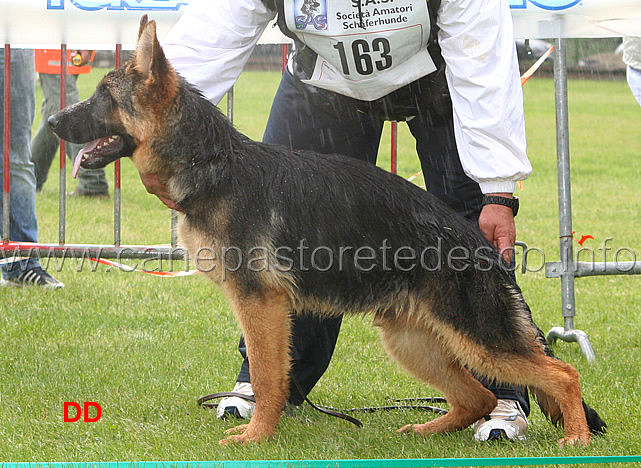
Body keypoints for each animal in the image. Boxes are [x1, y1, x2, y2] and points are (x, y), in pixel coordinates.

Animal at [51, 14, 604, 446]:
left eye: (103, 97)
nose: (55, 122)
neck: (213, 164)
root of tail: (479, 242)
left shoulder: (261, 305)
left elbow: (268, 375)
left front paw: (257, 436)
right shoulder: (268, 309)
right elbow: (270, 373)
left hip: (477, 336)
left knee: (561, 374)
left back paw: (574, 437)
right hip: (411, 340)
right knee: (477, 395)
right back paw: (427, 430)